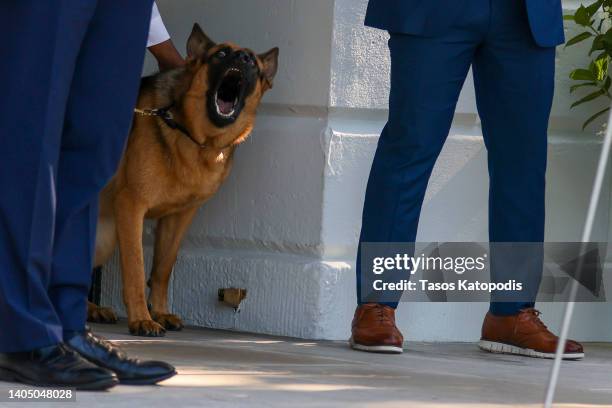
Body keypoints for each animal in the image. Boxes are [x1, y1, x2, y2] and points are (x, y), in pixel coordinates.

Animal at [88, 23, 280, 336]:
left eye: (252, 61)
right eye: (221, 54)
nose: (241, 58)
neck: (196, 138)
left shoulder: (180, 217)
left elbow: (163, 267)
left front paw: (160, 312)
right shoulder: (131, 207)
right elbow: (136, 266)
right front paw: (142, 318)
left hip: (103, 239)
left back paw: (91, 309)